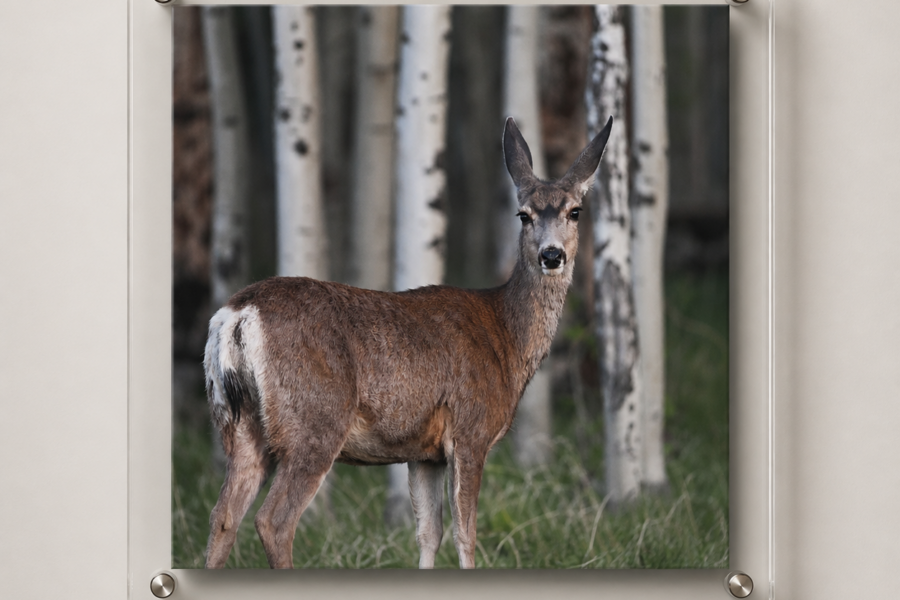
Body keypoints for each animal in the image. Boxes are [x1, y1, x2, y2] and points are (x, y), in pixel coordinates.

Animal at [203, 116, 613, 569]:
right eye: (523, 215)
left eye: (575, 211)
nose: (551, 255)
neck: (506, 339)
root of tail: (238, 313)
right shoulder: (470, 430)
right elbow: (466, 535)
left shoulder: (423, 452)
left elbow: (429, 533)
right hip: (314, 417)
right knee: (273, 521)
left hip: (237, 421)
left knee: (222, 516)